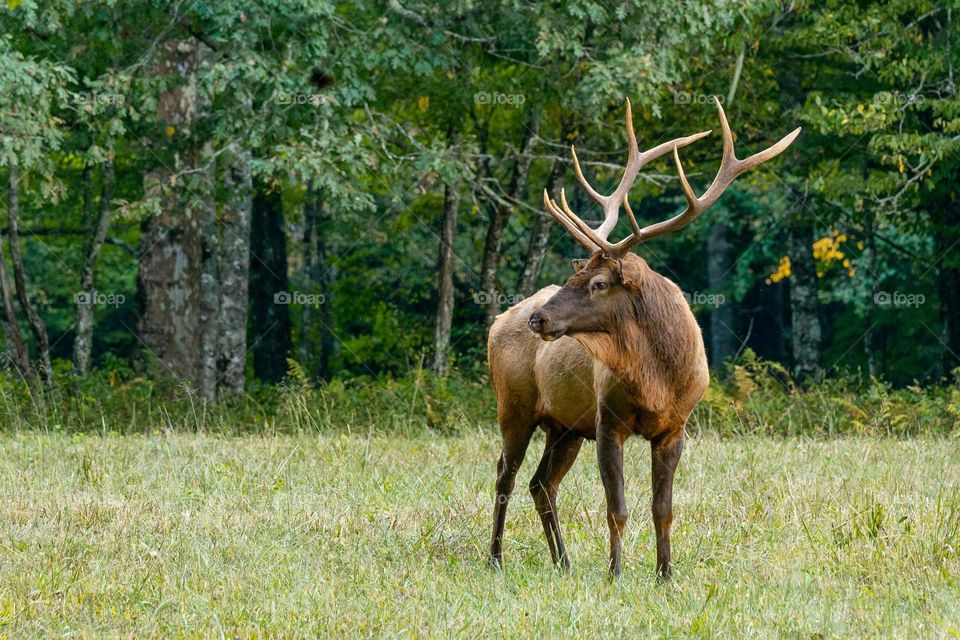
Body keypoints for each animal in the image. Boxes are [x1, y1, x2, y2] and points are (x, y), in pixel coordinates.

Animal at [487, 97, 800, 578]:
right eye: (575, 274)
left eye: (598, 283)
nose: (538, 320)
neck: (657, 379)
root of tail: (497, 321)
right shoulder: (607, 420)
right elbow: (616, 508)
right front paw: (615, 573)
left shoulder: (675, 427)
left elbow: (662, 509)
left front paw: (665, 575)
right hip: (515, 405)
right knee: (506, 474)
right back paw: (496, 557)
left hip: (564, 425)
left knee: (541, 484)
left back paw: (563, 561)